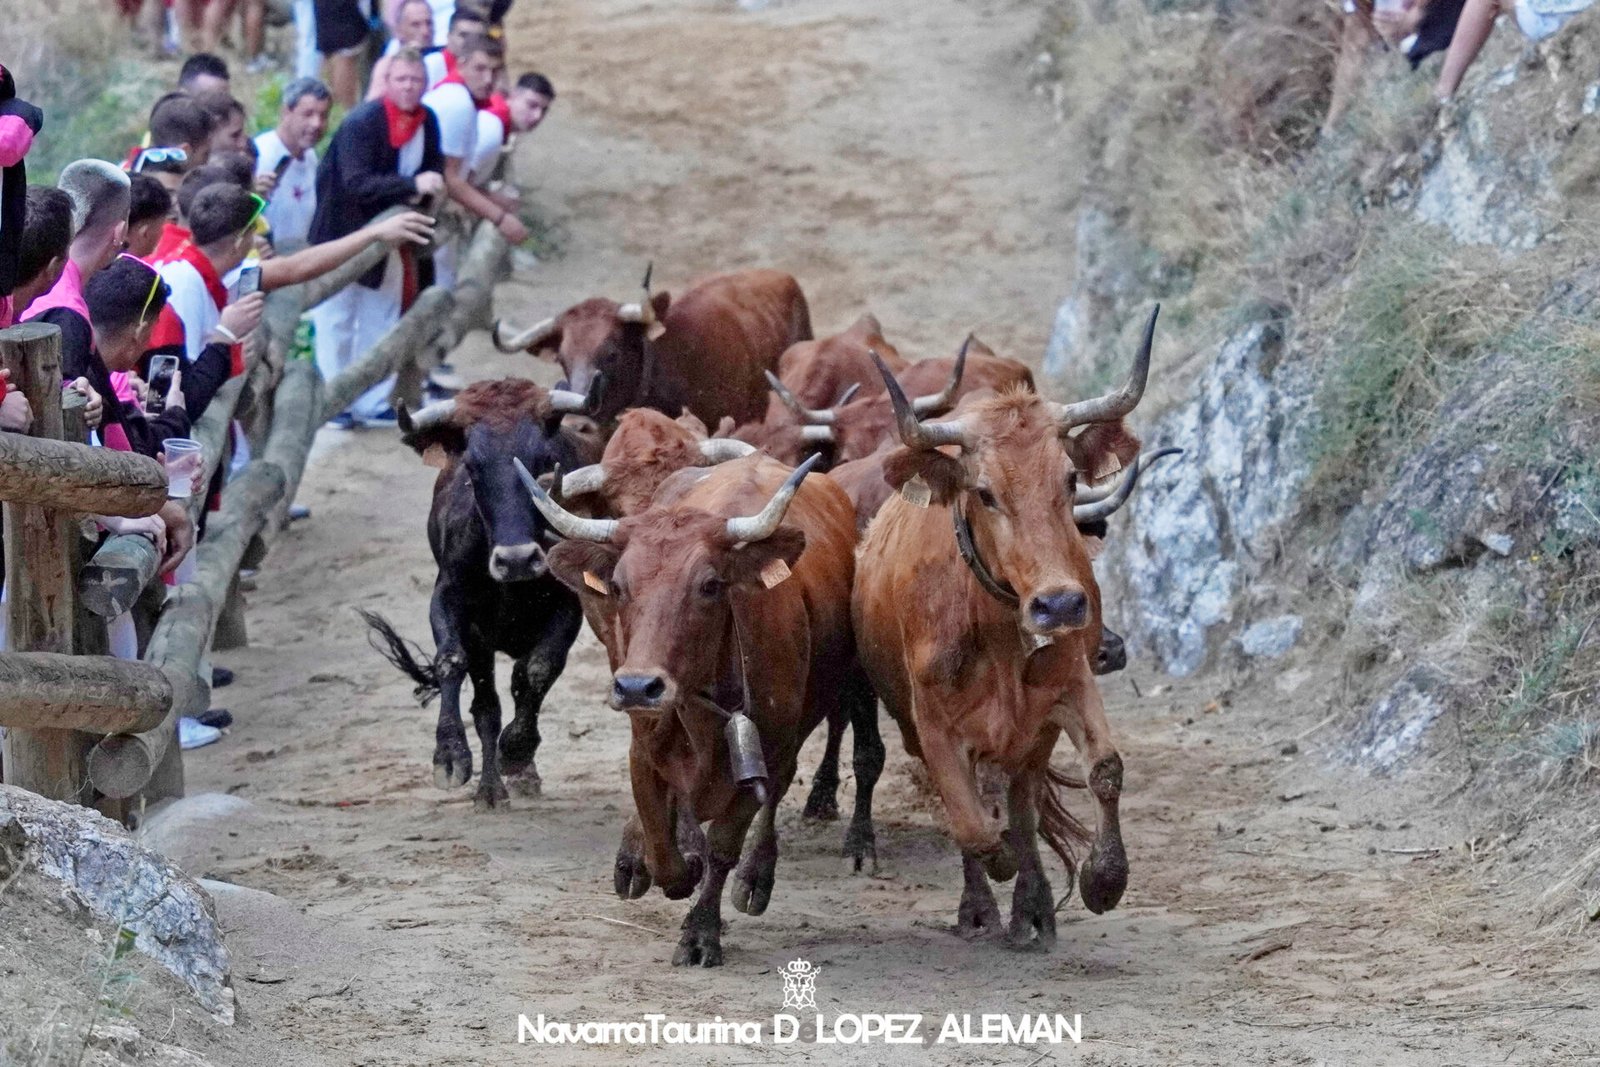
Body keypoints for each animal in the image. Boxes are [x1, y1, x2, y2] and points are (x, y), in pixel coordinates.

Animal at [518, 451, 870, 966]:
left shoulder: (766, 753)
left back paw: (756, 874)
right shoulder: (642, 749)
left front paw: (701, 932)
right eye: (618, 585)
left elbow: (723, 846)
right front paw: (659, 860)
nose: (638, 687)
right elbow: (661, 842)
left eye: (709, 585)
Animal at [851, 308, 1164, 953]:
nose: (1059, 604)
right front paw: (989, 881)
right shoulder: (932, 726)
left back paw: (1034, 908)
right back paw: (982, 908)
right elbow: (971, 824)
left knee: (1023, 805)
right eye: (985, 492)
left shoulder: (1069, 688)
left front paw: (1103, 880)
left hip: (1032, 738)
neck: (995, 630)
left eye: (1069, 480)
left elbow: (1104, 771)